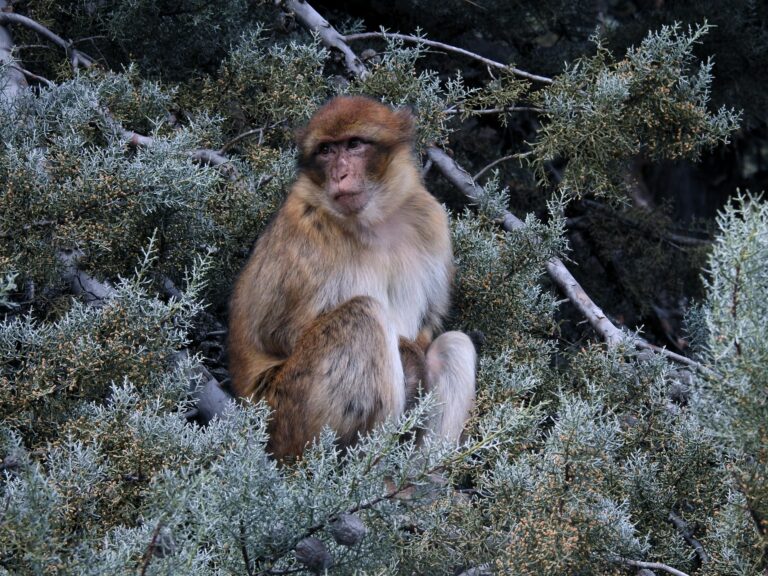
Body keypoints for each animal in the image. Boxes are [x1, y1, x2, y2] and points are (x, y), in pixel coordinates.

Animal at [228, 95, 476, 460]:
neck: (374, 222)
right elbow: (278, 334)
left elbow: (429, 326)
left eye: (354, 144)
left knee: (453, 346)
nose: (340, 174)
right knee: (364, 315)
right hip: (286, 417)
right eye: (326, 150)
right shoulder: (305, 231)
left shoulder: (430, 218)